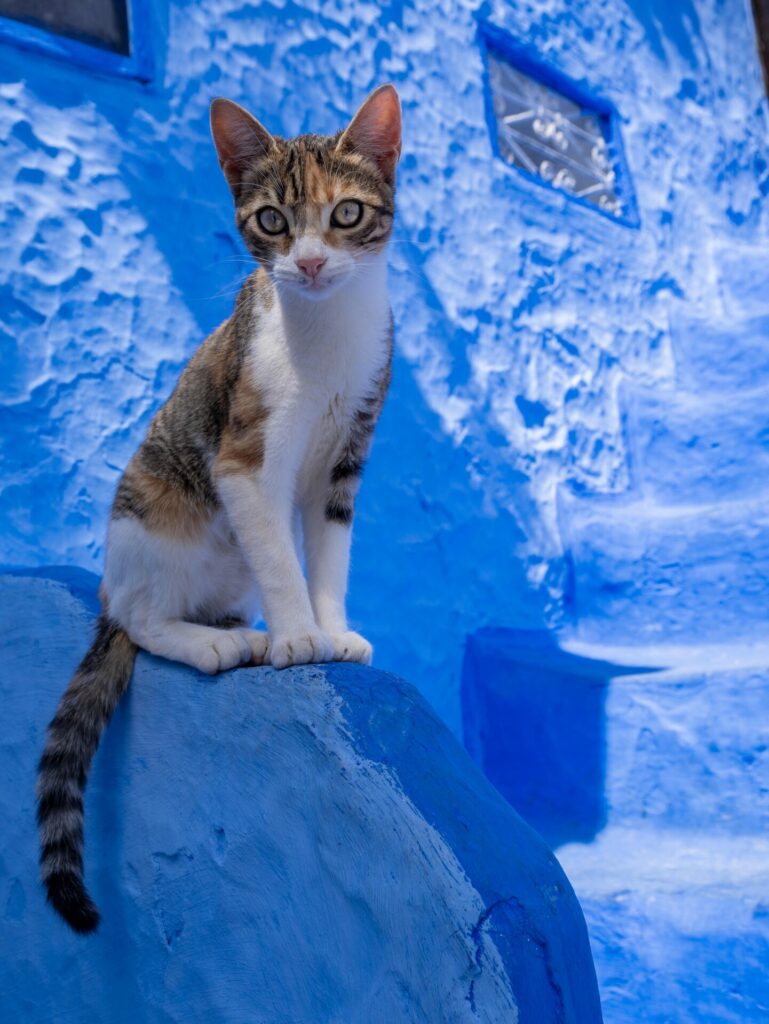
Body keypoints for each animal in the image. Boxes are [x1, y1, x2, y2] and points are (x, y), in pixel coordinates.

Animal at [34, 83, 403, 933]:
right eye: (271, 220)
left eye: (345, 214)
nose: (307, 262)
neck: (326, 335)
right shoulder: (243, 458)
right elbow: (278, 555)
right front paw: (298, 636)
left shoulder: (345, 455)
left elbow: (328, 554)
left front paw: (331, 630)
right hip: (156, 516)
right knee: (142, 621)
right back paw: (214, 644)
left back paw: (237, 628)